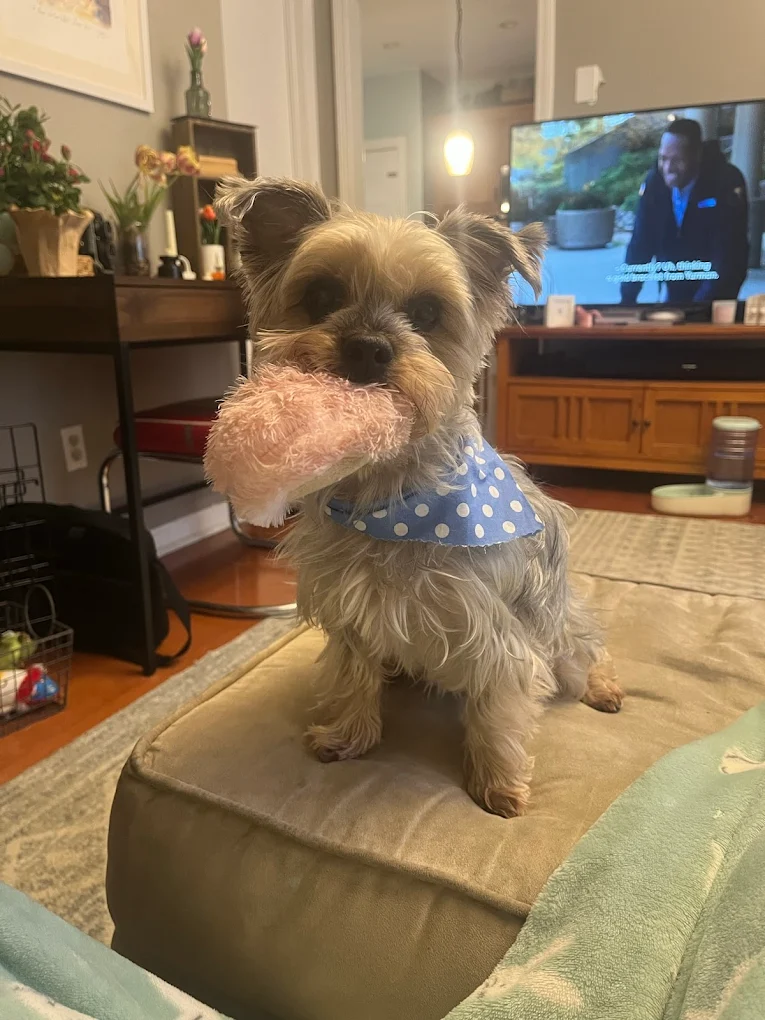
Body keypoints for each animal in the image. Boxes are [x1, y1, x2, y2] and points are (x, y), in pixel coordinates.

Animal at [215, 177, 623, 818]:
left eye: (429, 312)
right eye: (321, 294)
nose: (367, 347)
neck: (391, 500)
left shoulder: (498, 634)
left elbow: (498, 710)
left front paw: (499, 784)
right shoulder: (351, 614)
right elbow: (352, 677)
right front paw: (346, 737)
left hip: (557, 618)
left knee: (584, 646)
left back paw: (601, 686)